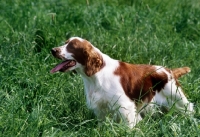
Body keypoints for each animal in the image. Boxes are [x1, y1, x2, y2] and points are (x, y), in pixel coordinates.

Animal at [50, 37, 194, 128]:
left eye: (72, 46)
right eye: (65, 43)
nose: (53, 50)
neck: (96, 75)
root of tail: (170, 71)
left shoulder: (125, 106)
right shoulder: (100, 108)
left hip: (177, 98)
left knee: (189, 109)